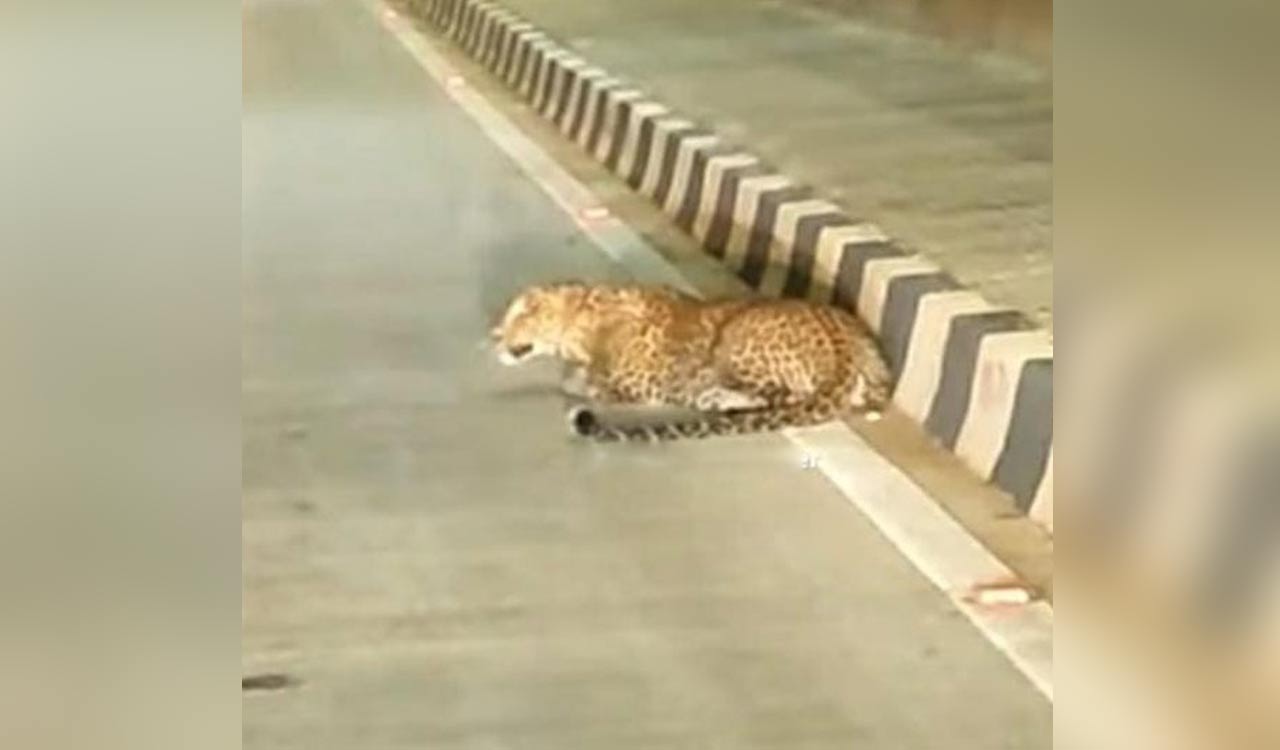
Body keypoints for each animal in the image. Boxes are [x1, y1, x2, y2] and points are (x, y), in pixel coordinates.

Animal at [491, 280, 893, 441]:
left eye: (517, 316)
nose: (494, 336)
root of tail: (841, 343)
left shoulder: (638, 386)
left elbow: (579, 382)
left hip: (735, 337)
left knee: (782, 397)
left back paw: (716, 398)